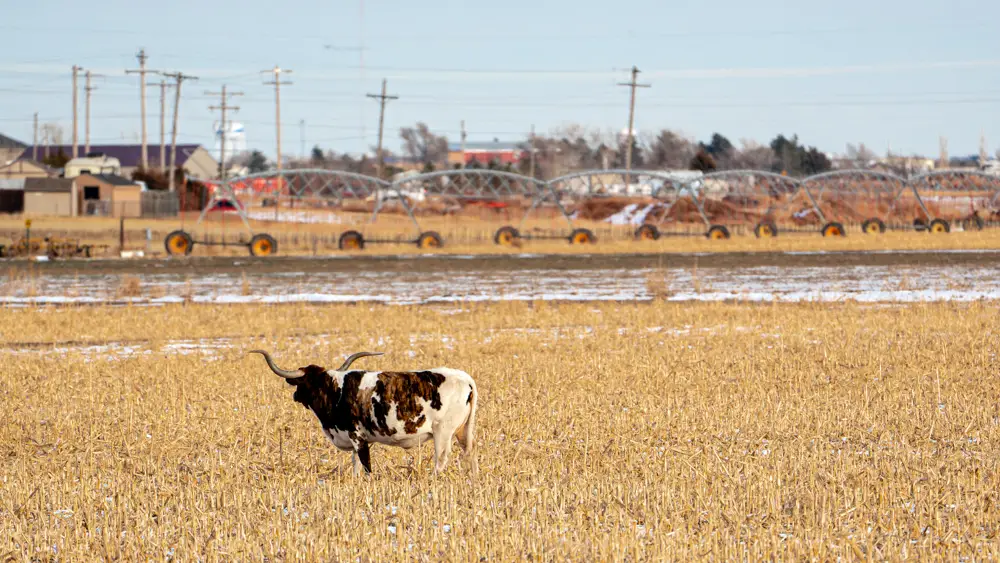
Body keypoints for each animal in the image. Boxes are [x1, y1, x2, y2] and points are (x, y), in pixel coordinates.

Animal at [249, 349, 478, 476]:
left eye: (304, 383)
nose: (296, 396)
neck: (336, 391)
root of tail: (465, 378)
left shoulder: (358, 438)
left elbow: (366, 466)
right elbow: (356, 466)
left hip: (443, 432)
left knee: (441, 458)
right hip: (463, 432)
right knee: (470, 456)